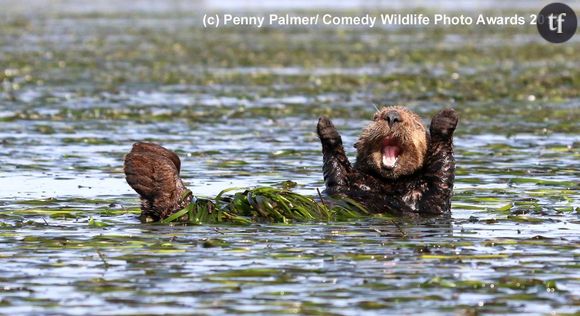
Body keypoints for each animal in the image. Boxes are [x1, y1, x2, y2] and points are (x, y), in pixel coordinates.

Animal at [123, 106, 458, 220]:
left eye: (414, 121)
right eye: (377, 116)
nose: (392, 116)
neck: (384, 184)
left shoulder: (429, 198)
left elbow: (442, 169)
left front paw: (445, 120)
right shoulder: (345, 183)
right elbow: (336, 167)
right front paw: (327, 128)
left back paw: (147, 166)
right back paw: (147, 162)